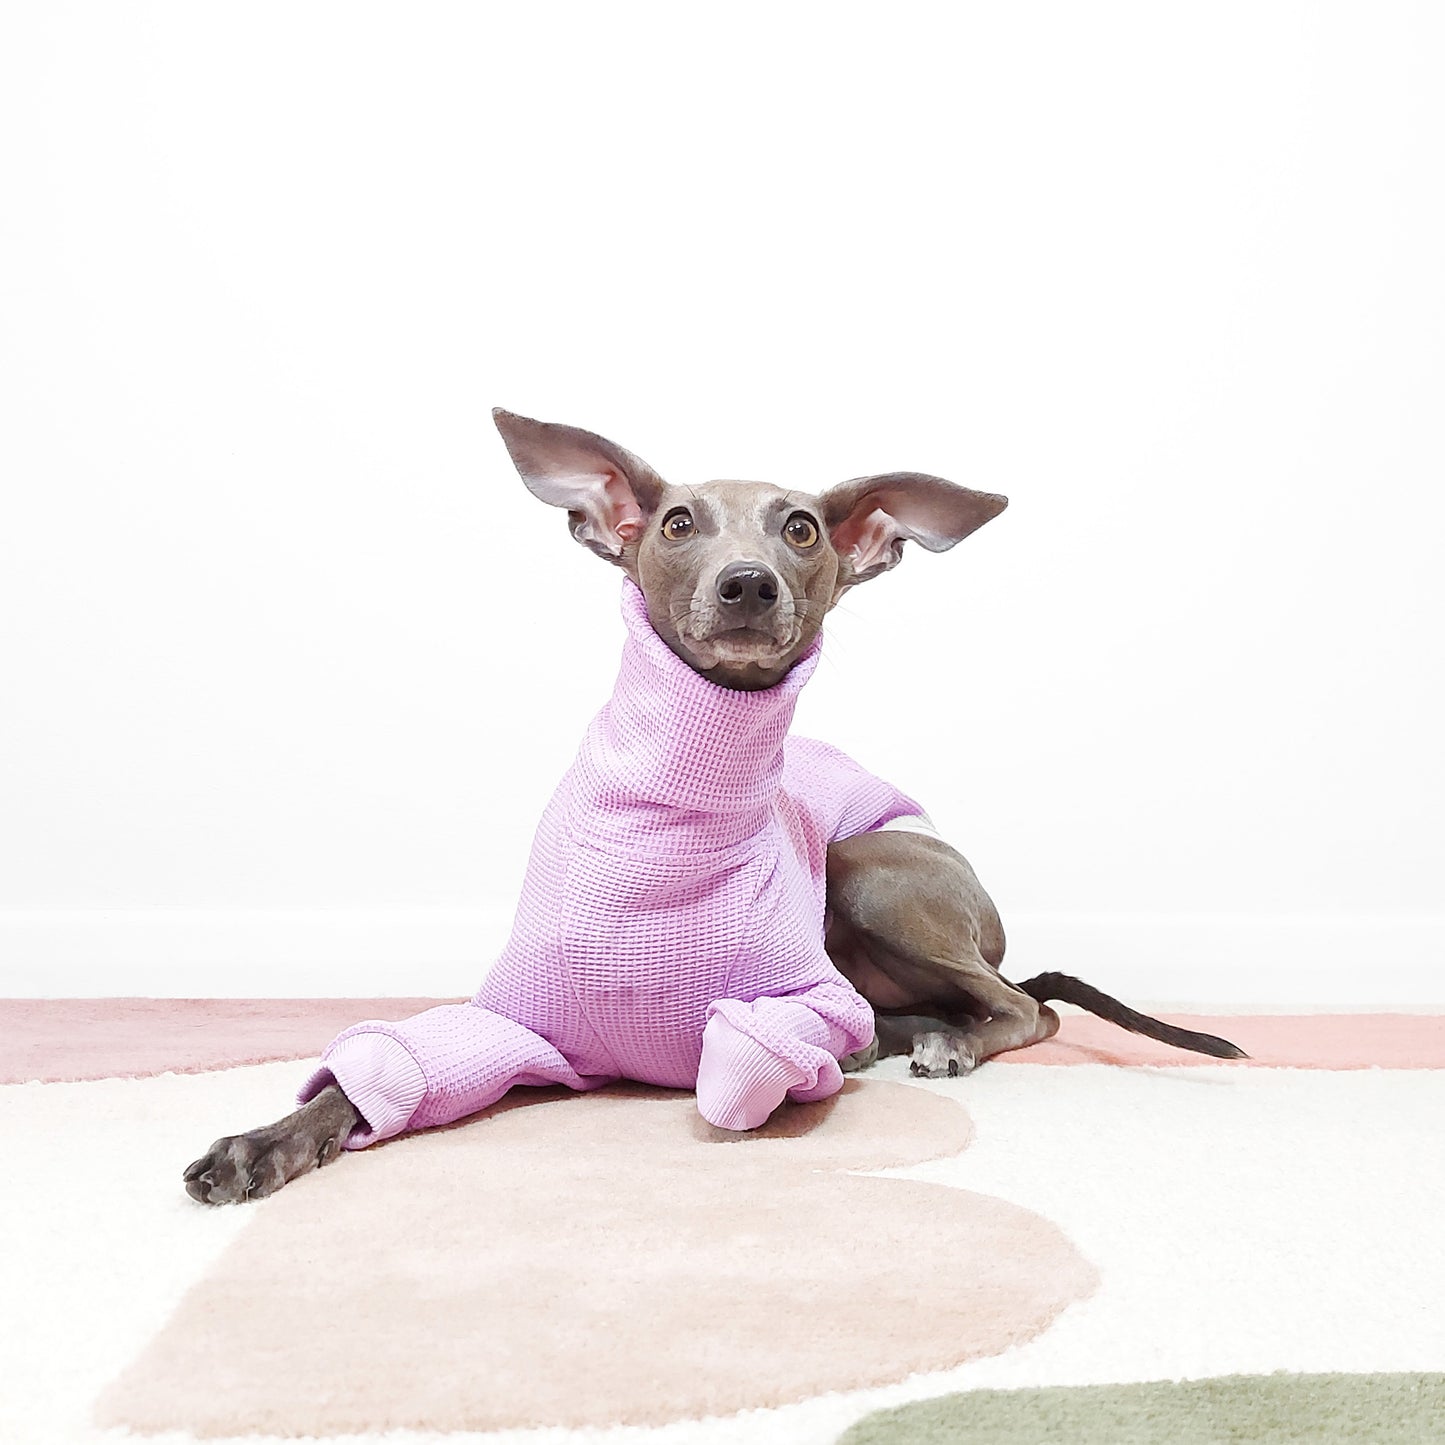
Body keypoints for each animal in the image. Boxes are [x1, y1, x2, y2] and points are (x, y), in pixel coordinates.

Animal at [180, 410, 1242, 1208]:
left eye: (801, 527)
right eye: (678, 523)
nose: (747, 584)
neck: (667, 828)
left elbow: (763, 1048)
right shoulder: (515, 1024)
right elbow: (370, 1077)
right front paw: (262, 1141)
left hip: (869, 874)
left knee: (1024, 1006)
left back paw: (944, 1044)